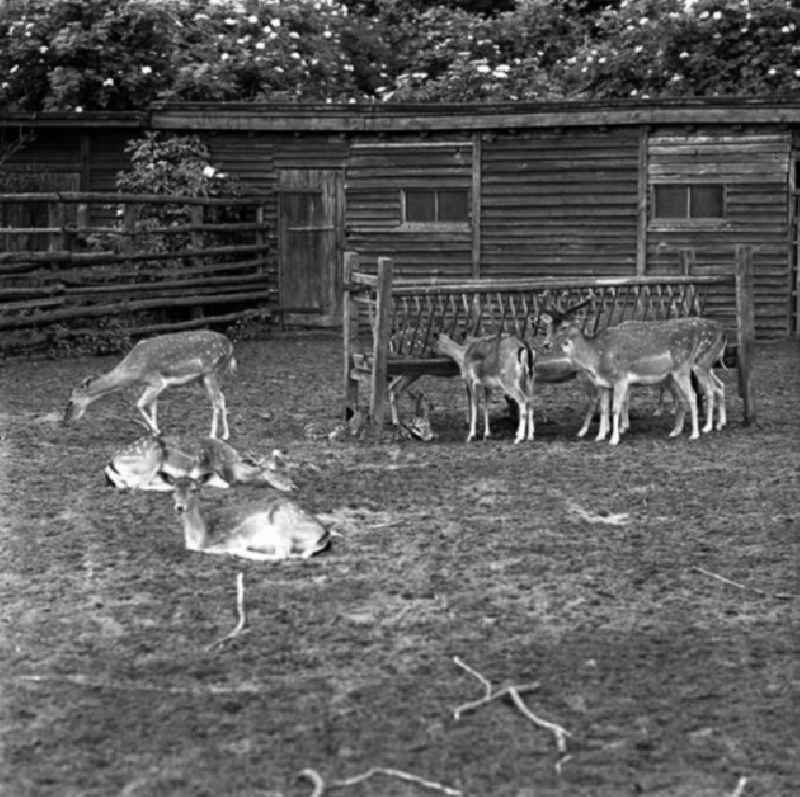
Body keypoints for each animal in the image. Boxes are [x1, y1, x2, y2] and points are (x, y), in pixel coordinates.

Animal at [169, 476, 332, 564]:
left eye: (194, 490)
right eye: (173, 490)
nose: (180, 507)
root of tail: (324, 534)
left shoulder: (235, 538)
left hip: (282, 524)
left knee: (282, 553)